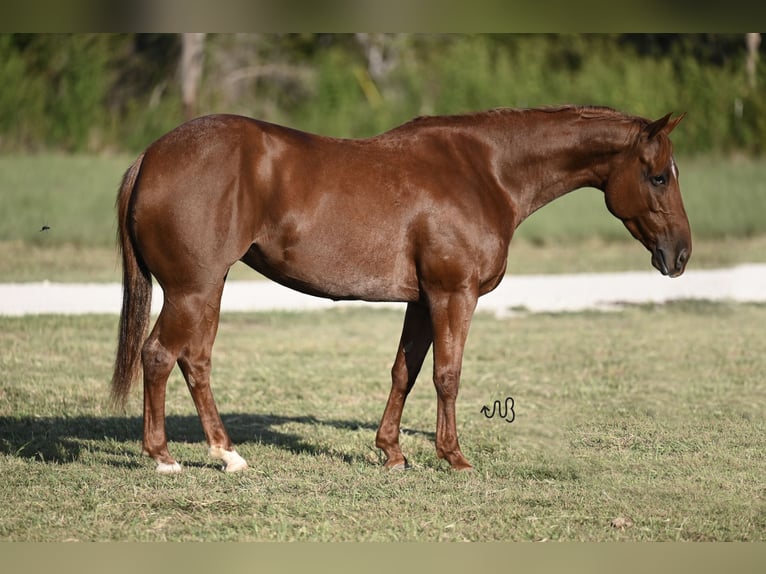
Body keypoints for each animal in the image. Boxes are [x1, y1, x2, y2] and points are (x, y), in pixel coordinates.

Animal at [111, 106, 692, 474]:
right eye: (659, 176)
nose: (680, 255)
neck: (486, 171)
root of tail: (151, 156)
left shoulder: (421, 300)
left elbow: (405, 372)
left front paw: (391, 452)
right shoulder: (453, 294)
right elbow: (447, 375)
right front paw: (454, 457)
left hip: (208, 290)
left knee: (195, 360)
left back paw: (226, 453)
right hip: (192, 291)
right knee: (159, 355)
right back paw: (165, 458)